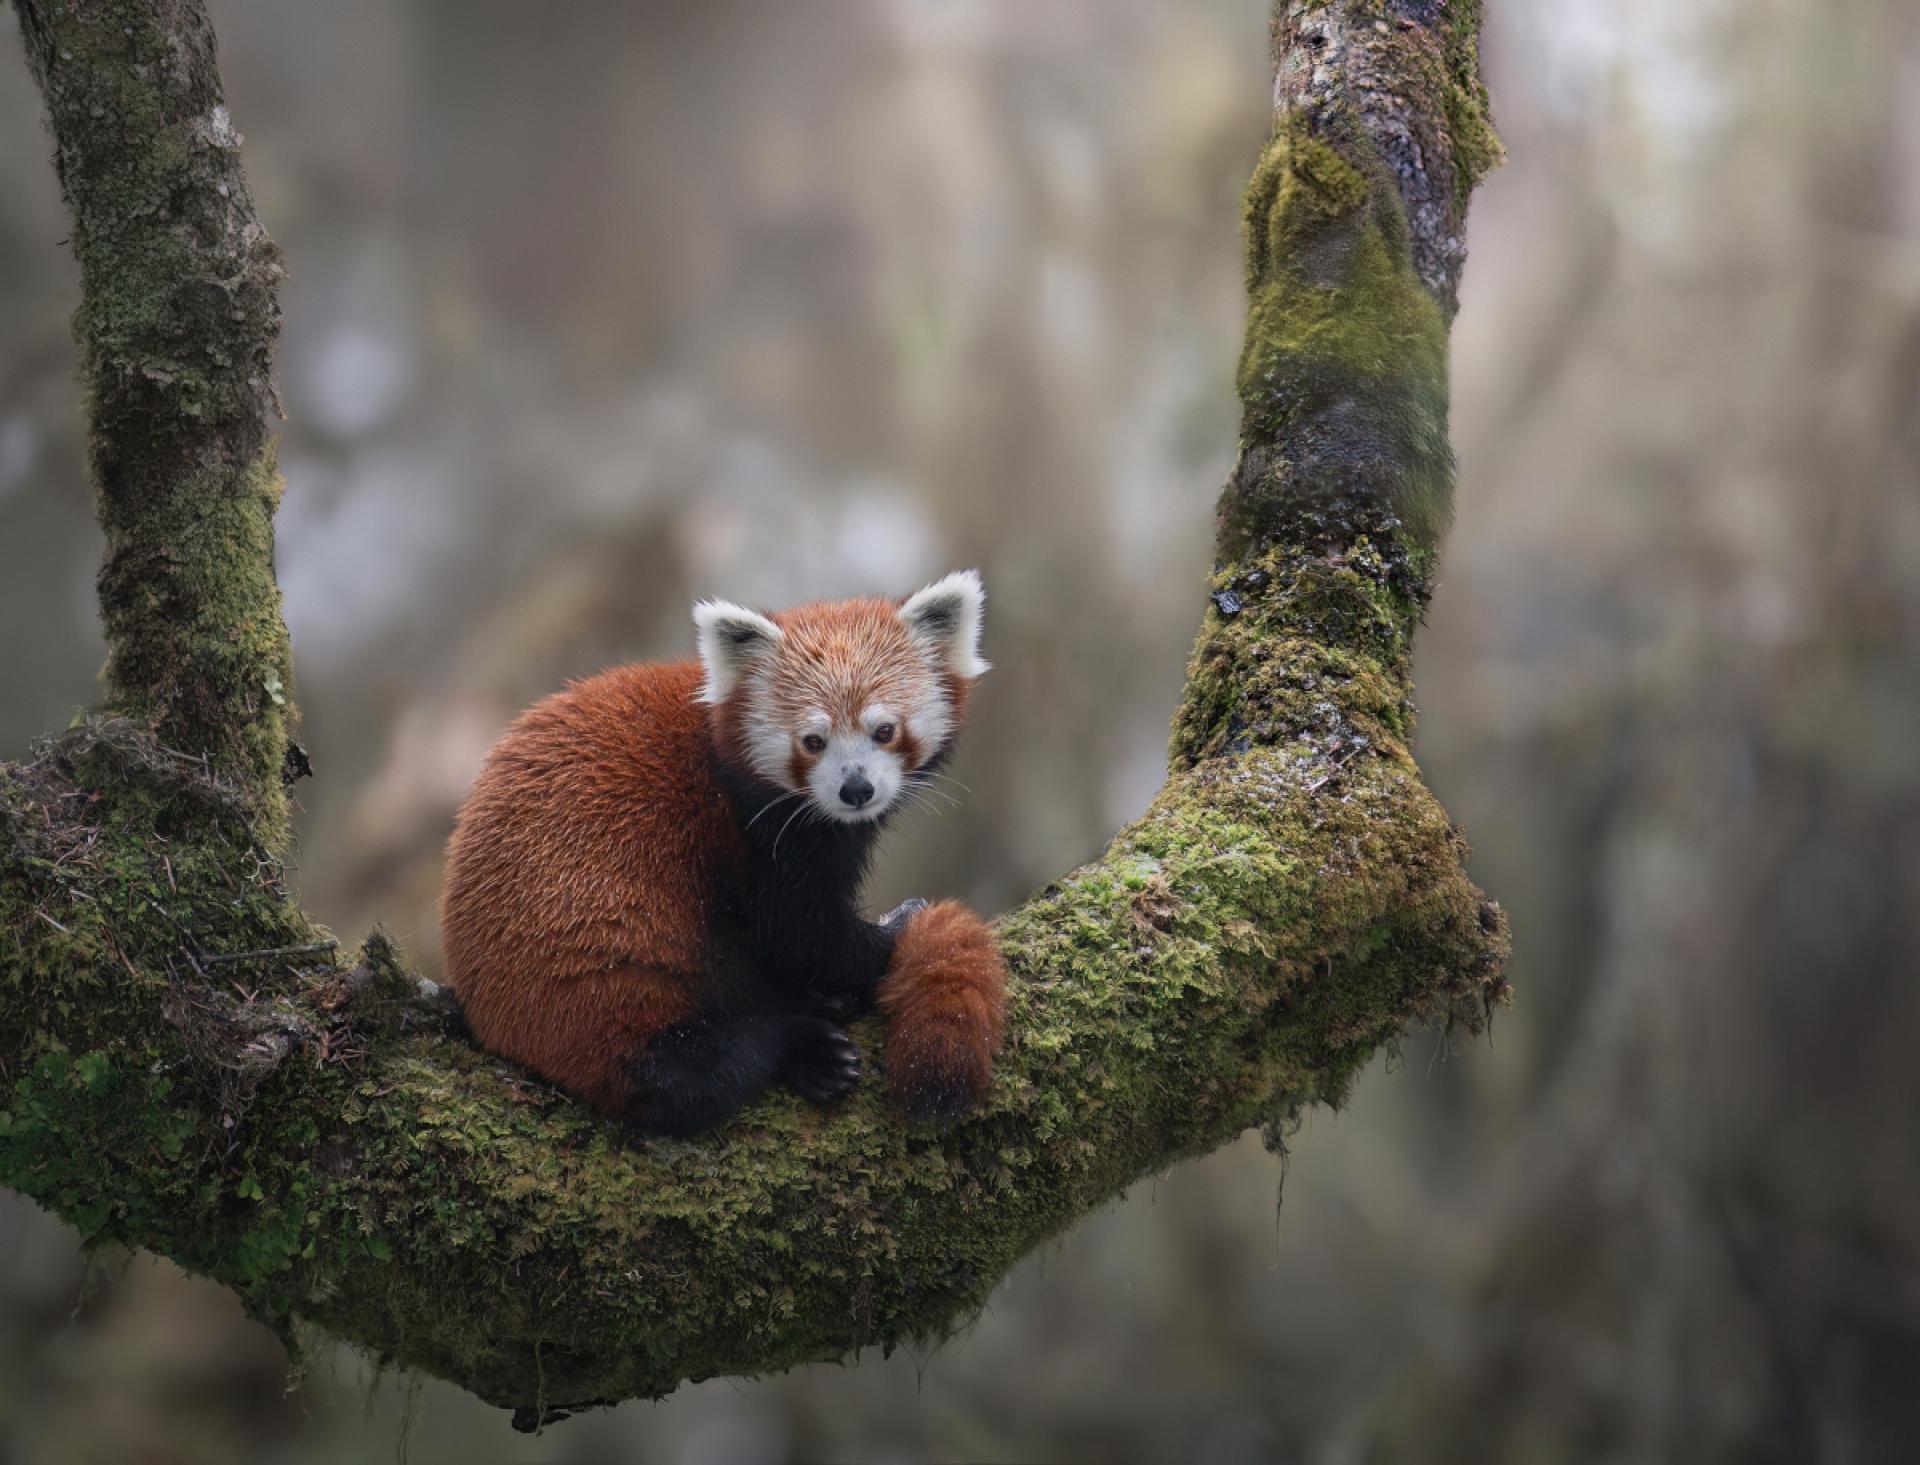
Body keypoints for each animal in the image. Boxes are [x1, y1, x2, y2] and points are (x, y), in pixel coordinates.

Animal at [435, 568, 1006, 1136]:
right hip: (606, 964)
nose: (856, 789)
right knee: (696, 1066)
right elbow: (803, 933)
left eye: (884, 731)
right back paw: (805, 1046)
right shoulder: (763, 838)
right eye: (813, 741)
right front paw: (896, 929)